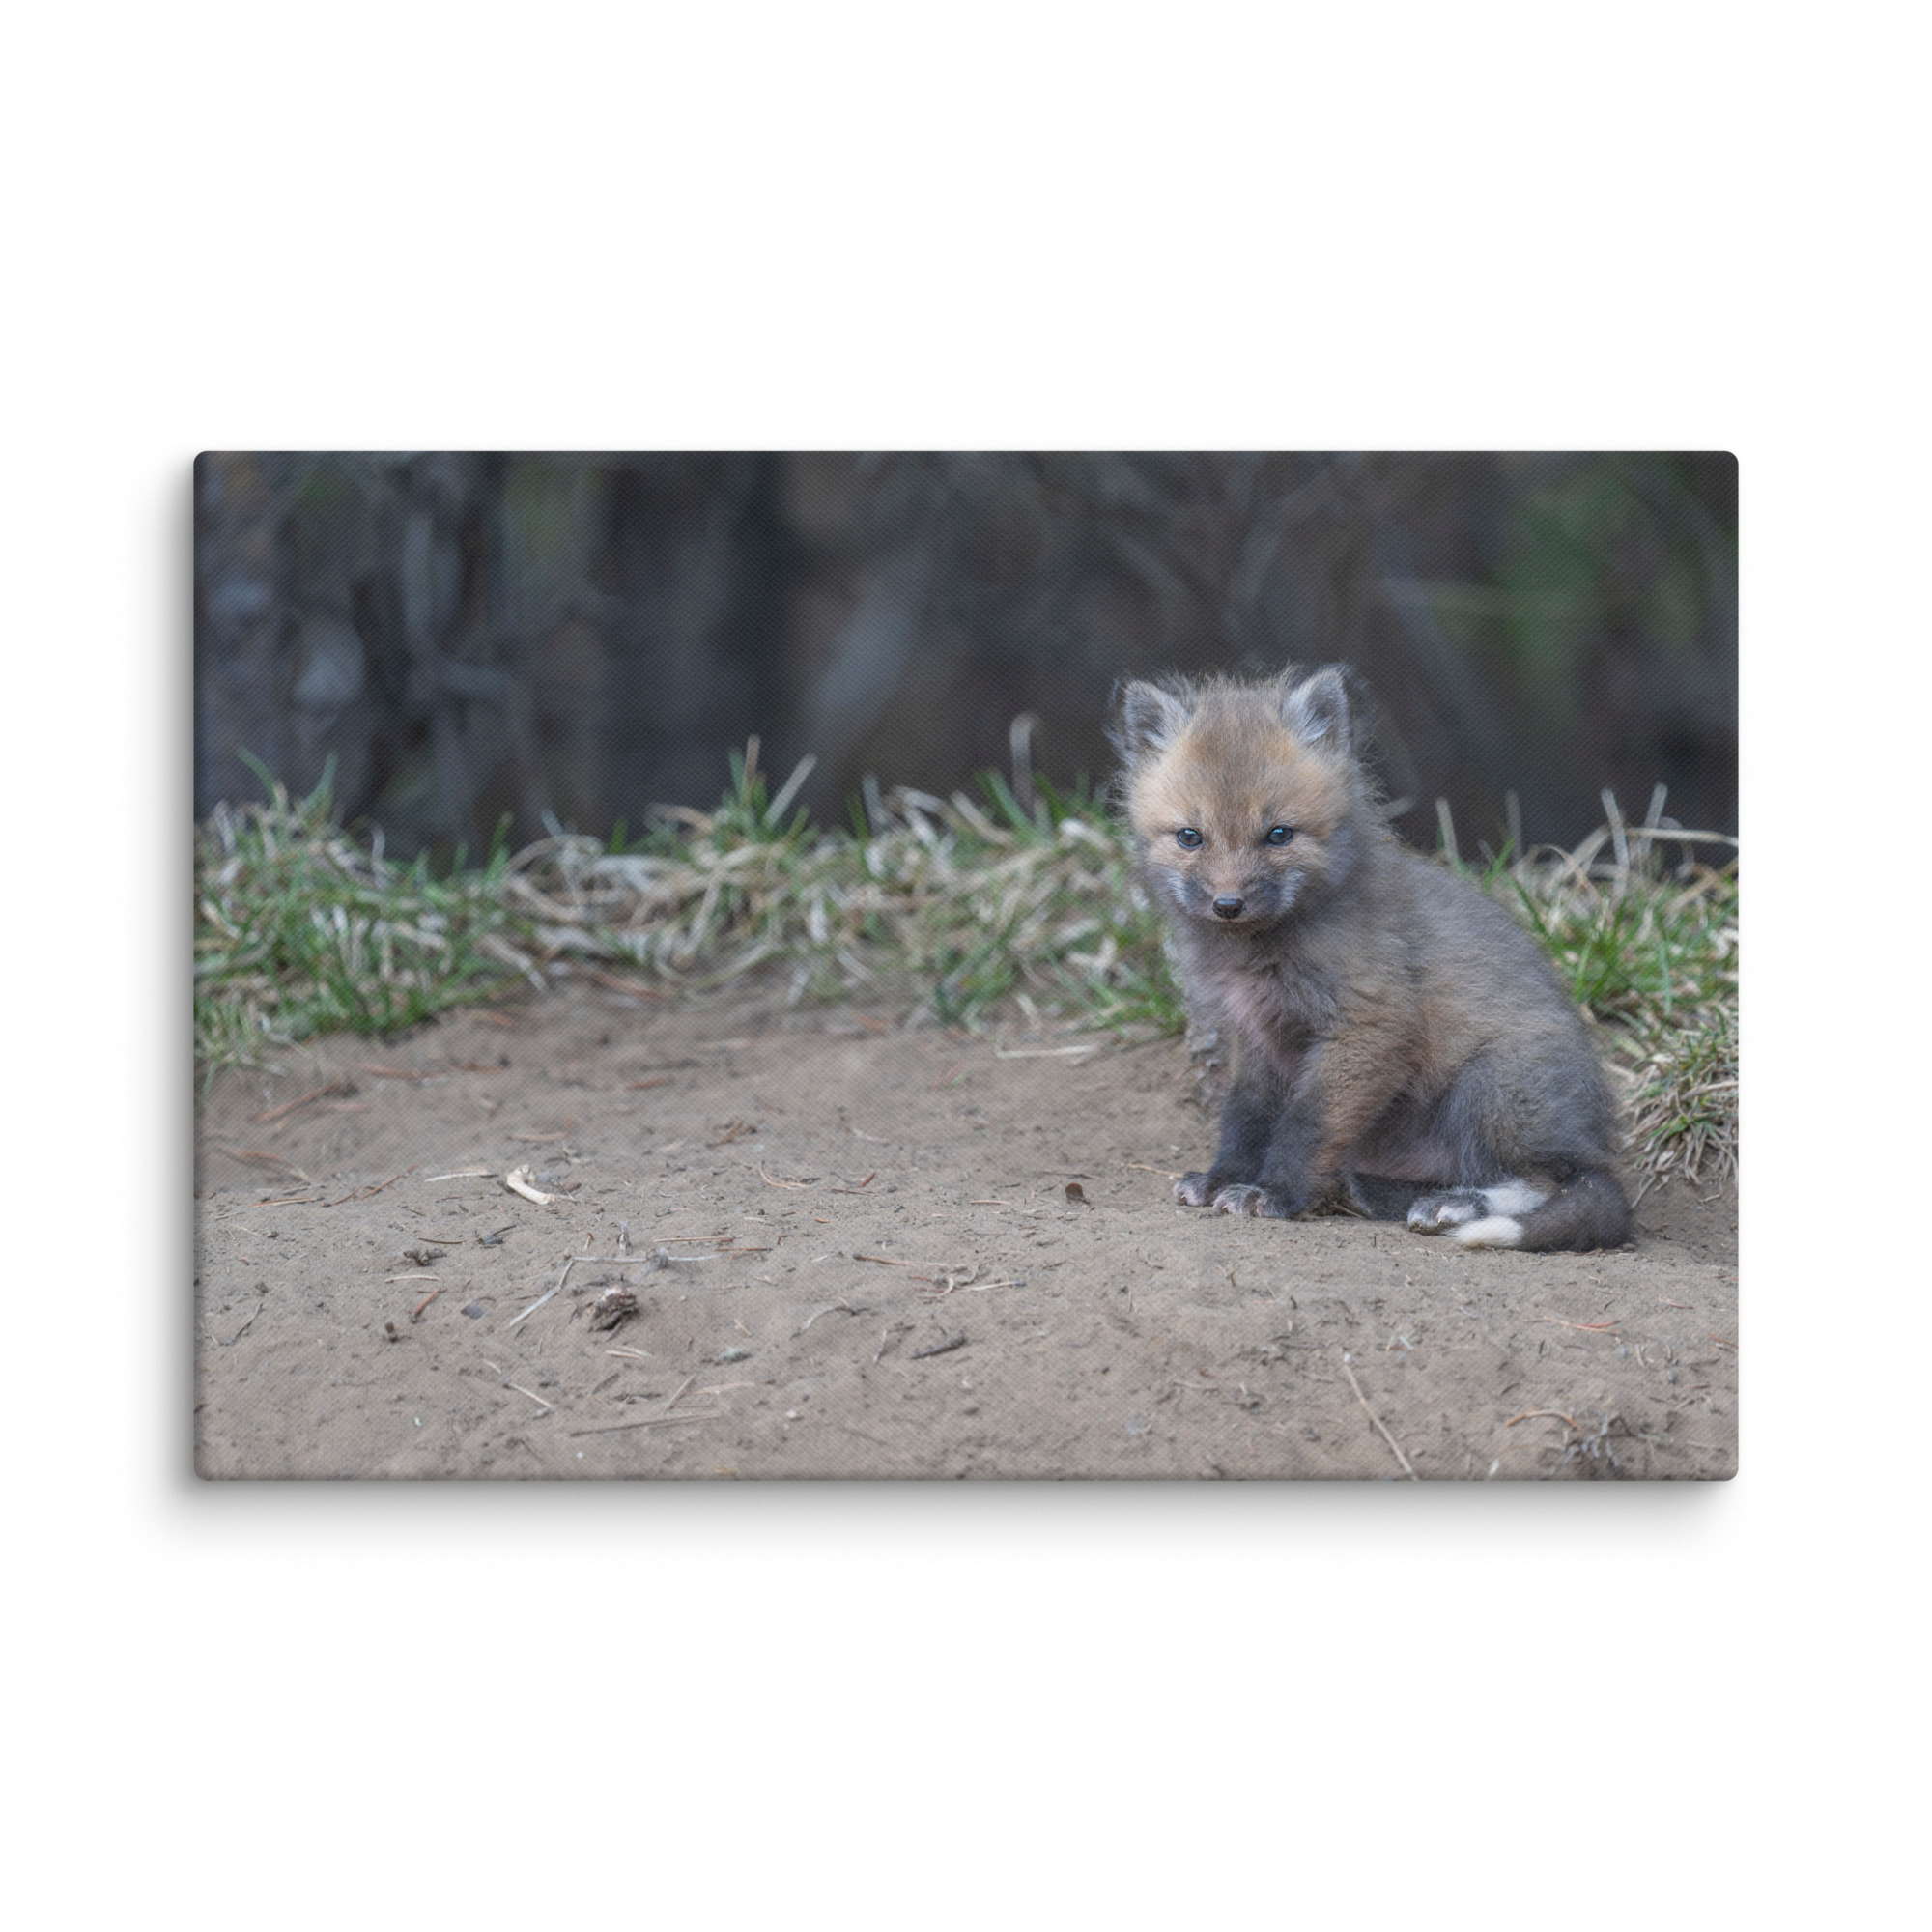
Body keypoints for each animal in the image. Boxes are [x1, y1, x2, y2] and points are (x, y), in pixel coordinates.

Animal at [1111, 664, 1631, 1252]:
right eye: (1190, 837)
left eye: (1278, 835)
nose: (1228, 904)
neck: (1260, 954)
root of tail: (1594, 1140)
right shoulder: (1256, 1036)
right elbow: (1245, 1118)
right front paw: (1225, 1178)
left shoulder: (1368, 1025)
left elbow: (1306, 1123)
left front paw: (1275, 1194)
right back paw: (1379, 1192)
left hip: (1490, 1087)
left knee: (1554, 1182)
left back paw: (1456, 1206)